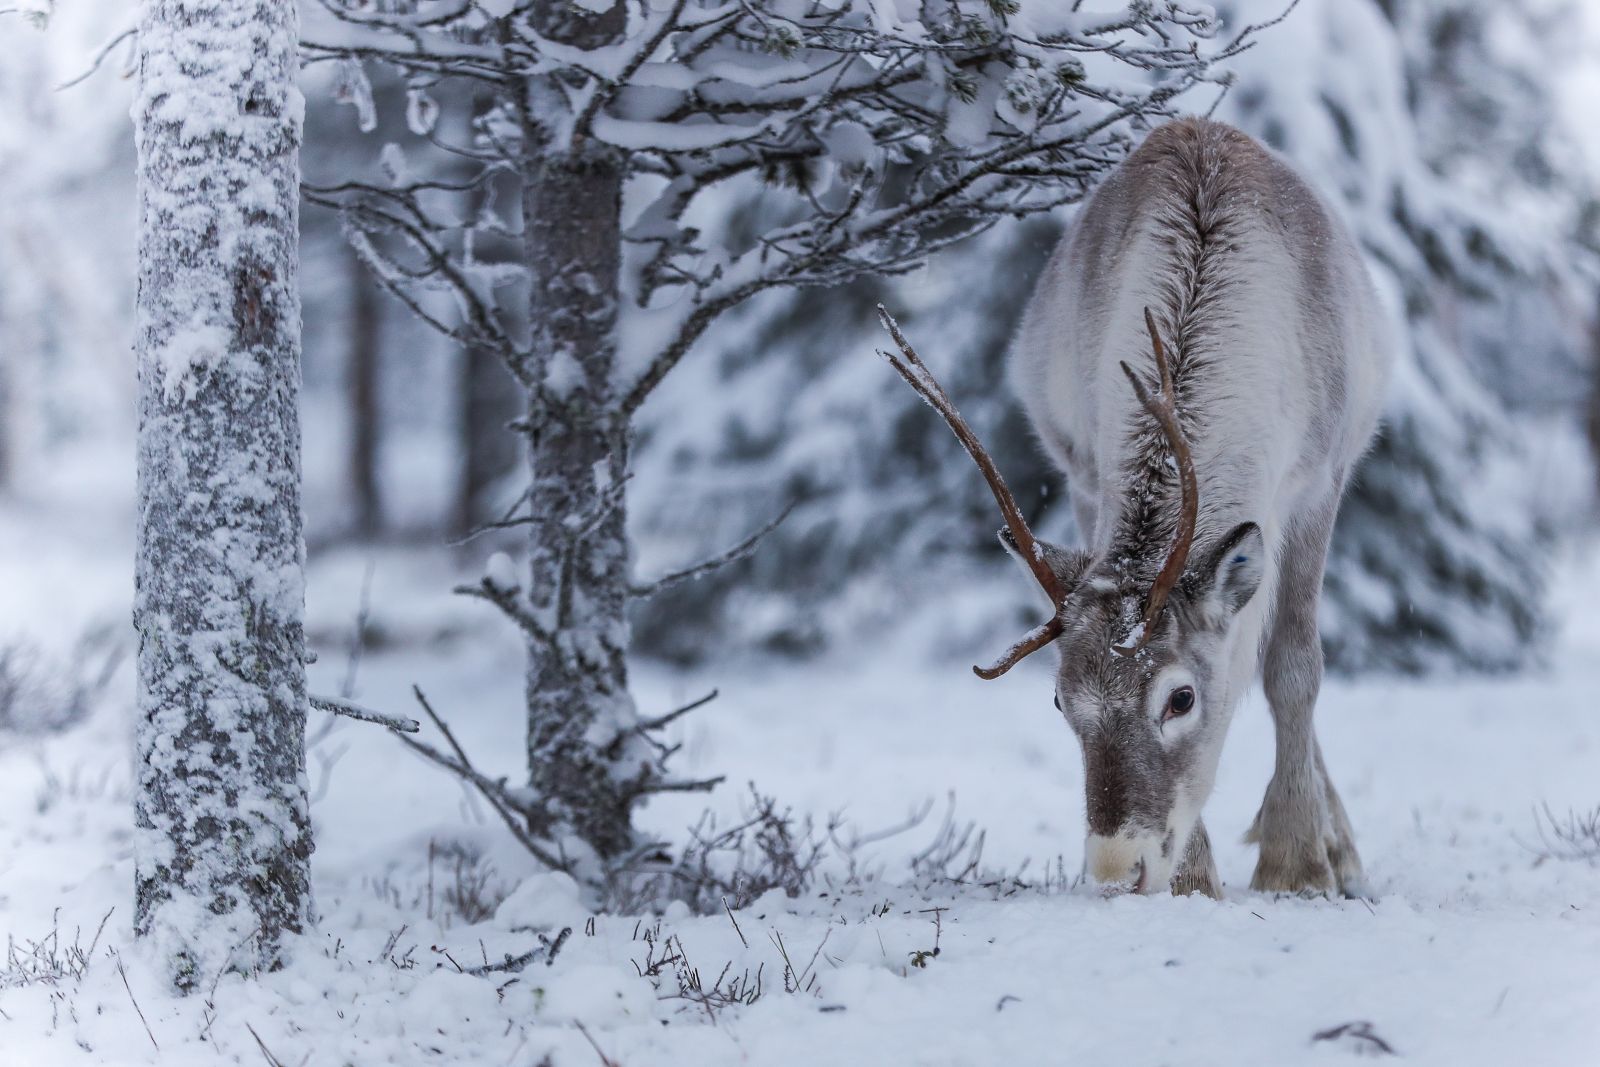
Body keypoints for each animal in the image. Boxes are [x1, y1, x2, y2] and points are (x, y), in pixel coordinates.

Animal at [877, 117, 1392, 899]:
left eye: (1180, 698)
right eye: (1062, 700)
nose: (1119, 870)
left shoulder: (1317, 480)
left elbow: (1294, 667)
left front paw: (1297, 864)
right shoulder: (1089, 476)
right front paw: (1195, 880)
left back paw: (1340, 848)